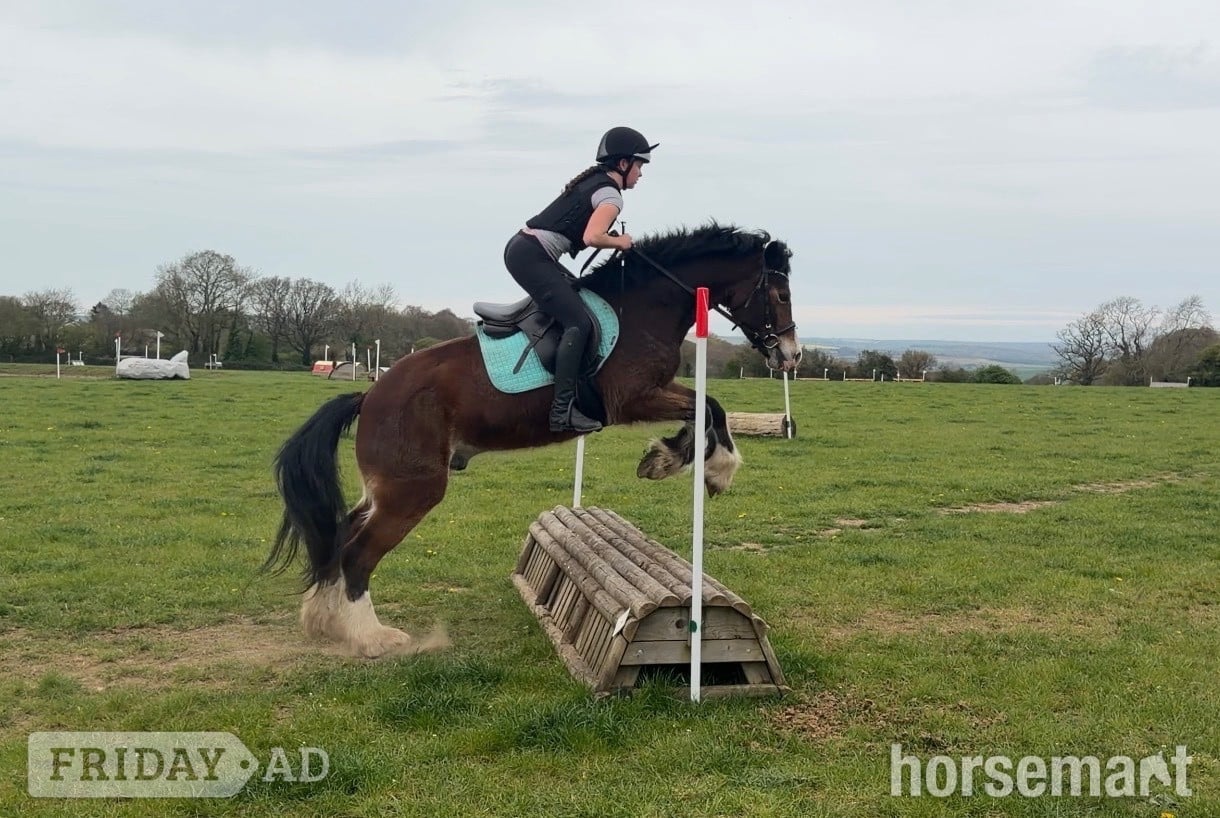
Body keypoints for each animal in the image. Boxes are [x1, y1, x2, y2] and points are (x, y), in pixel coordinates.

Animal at [266, 221, 802, 658]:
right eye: (779, 294)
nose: (791, 355)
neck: (644, 306)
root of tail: (369, 395)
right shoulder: (631, 399)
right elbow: (710, 406)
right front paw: (712, 469)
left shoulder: (654, 393)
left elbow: (707, 406)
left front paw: (665, 459)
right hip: (413, 489)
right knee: (357, 553)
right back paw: (371, 637)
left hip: (385, 488)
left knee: (339, 533)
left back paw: (323, 619)